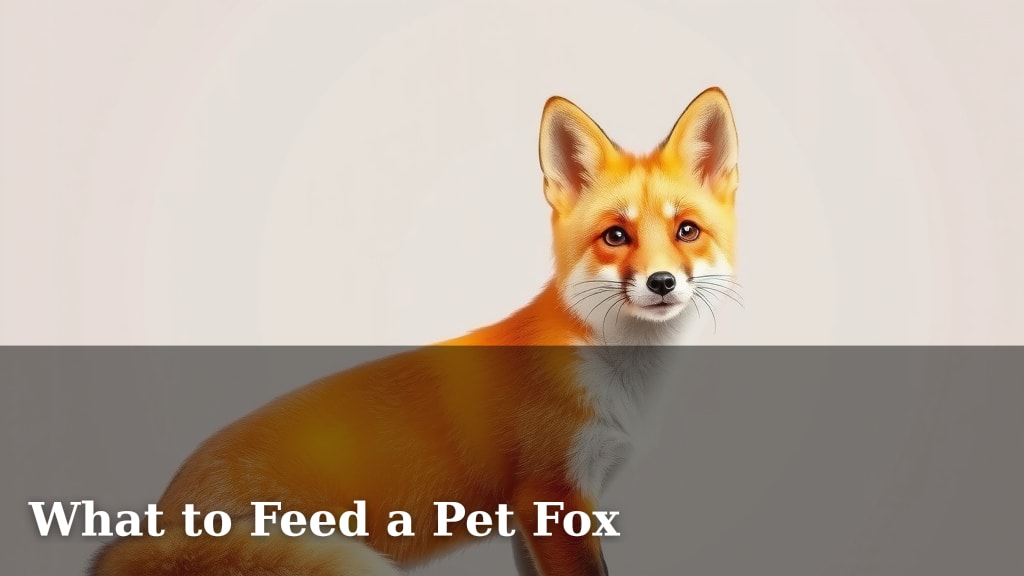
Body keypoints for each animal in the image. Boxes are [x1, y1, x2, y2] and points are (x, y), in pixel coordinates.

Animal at [89, 87, 740, 576]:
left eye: (686, 231)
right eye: (615, 236)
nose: (661, 283)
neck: (616, 372)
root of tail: (155, 521)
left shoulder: (529, 512)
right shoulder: (552, 496)